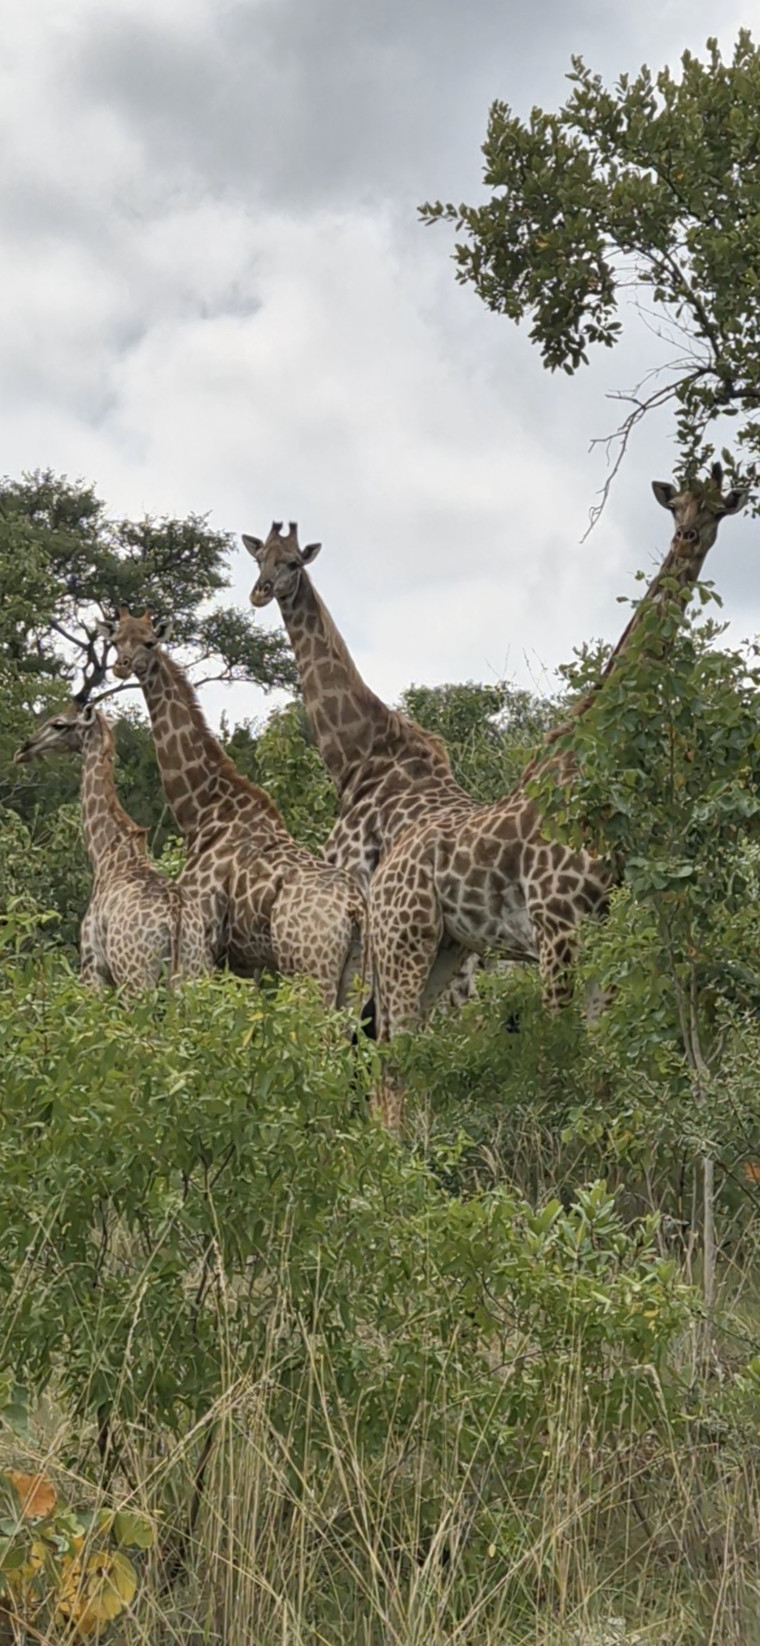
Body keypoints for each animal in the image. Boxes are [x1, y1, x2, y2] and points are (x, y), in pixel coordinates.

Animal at [13, 702, 208, 990]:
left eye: (58, 724)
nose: (23, 750)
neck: (107, 852)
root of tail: (175, 918)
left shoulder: (92, 965)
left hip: (135, 975)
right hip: (190, 971)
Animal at [96, 610, 367, 1009]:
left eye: (149, 641)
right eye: (115, 641)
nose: (122, 666)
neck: (202, 810)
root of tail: (354, 908)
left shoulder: (206, 934)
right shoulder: (245, 961)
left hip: (309, 968)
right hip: (356, 973)